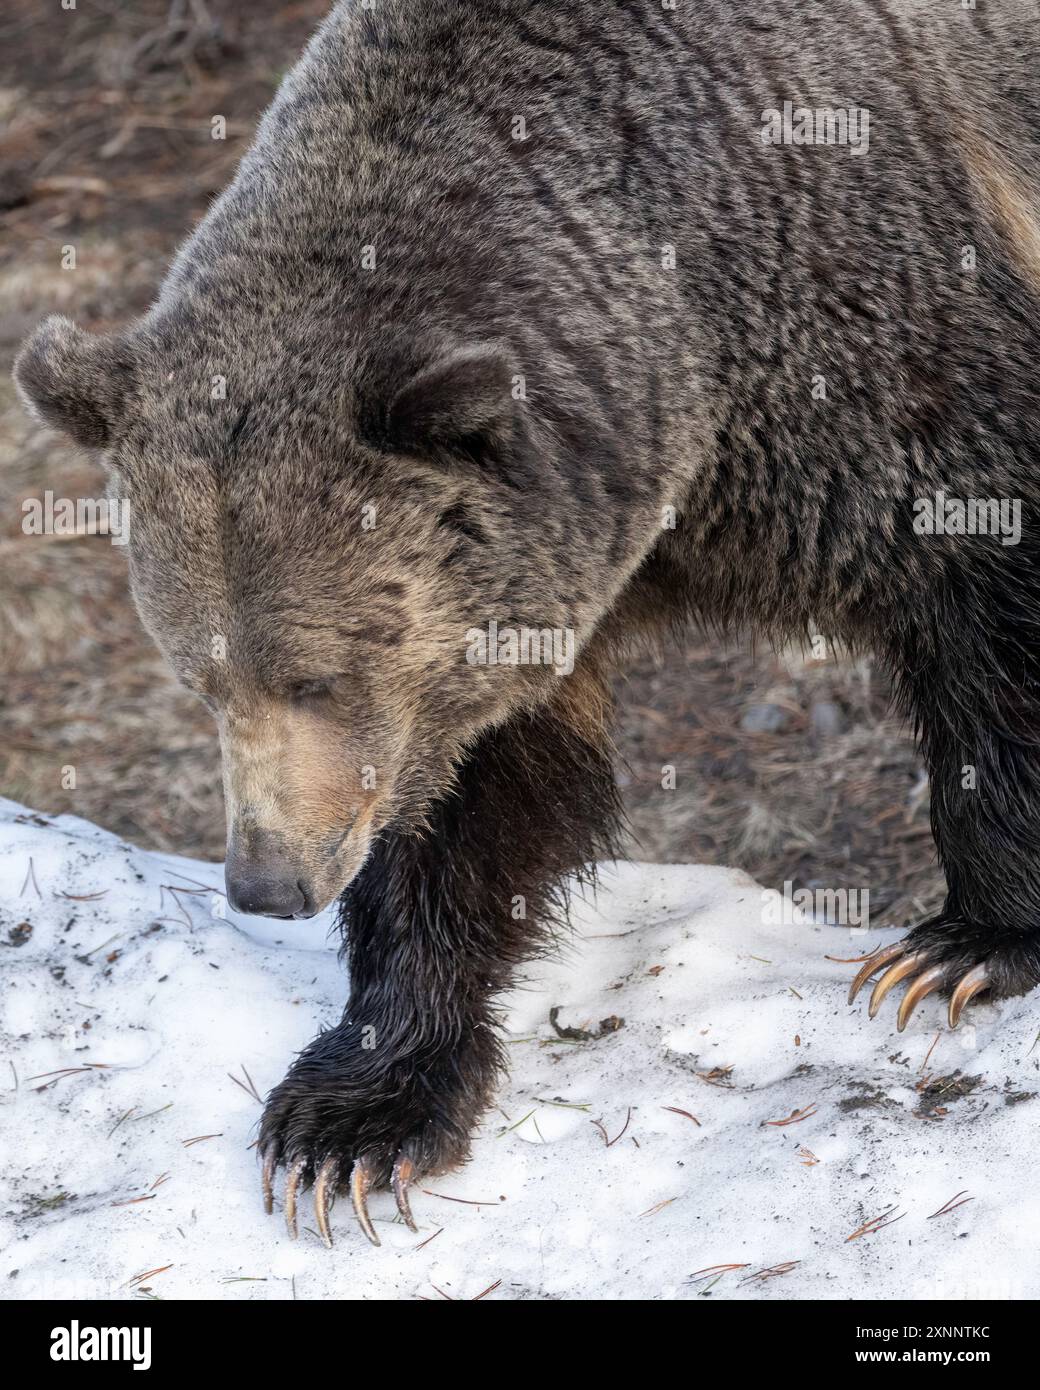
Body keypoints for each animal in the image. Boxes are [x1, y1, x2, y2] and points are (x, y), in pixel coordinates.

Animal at [14, 0, 1040, 1239]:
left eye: (318, 673)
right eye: (197, 677)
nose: (267, 880)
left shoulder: (889, 347)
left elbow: (992, 601)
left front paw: (962, 947)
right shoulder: (539, 565)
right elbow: (480, 797)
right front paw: (355, 1120)